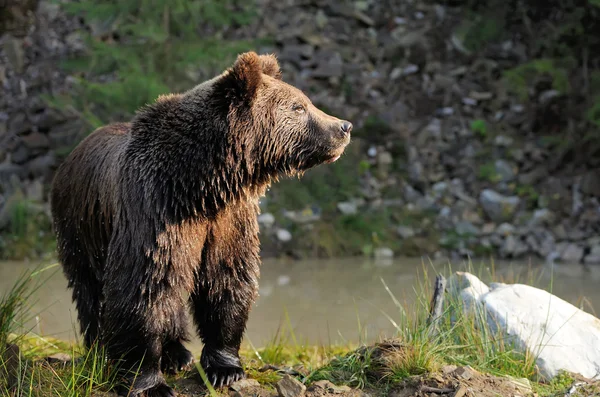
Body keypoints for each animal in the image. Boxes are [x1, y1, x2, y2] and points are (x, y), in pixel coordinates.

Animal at [50, 52, 352, 396]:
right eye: (298, 106)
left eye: (306, 101)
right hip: (80, 227)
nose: (344, 126)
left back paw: (176, 353)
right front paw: (150, 382)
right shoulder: (153, 211)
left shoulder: (227, 220)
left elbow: (227, 280)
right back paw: (101, 350)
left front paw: (225, 369)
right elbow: (144, 285)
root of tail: (70, 156)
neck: (200, 185)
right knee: (90, 289)